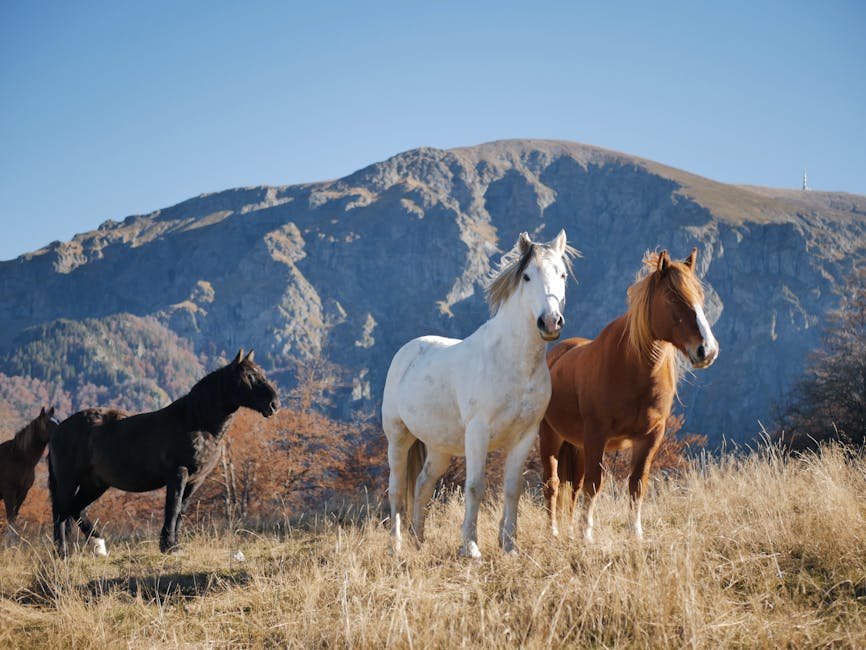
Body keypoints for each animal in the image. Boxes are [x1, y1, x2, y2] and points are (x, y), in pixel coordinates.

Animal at [0, 408, 59, 540]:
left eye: (58, 421)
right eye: (48, 424)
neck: (18, 458)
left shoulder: (23, 493)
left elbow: (14, 517)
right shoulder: (9, 493)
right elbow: (11, 518)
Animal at [49, 346, 278, 556]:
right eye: (249, 376)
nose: (274, 404)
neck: (196, 422)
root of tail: (58, 429)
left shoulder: (196, 479)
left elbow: (182, 510)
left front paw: (175, 544)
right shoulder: (178, 473)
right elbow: (173, 507)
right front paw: (169, 546)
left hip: (95, 483)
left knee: (76, 509)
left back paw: (97, 547)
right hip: (69, 480)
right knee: (62, 512)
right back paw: (64, 553)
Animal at [380, 229, 572, 556]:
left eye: (562, 274)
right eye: (527, 277)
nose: (550, 322)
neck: (511, 362)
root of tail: (407, 352)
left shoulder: (525, 435)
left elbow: (512, 489)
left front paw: (510, 546)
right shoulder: (478, 433)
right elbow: (475, 486)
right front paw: (470, 547)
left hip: (439, 447)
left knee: (422, 484)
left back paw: (419, 541)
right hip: (398, 437)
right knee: (396, 490)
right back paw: (397, 547)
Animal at [540, 248, 716, 540]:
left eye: (701, 297)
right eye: (672, 297)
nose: (707, 350)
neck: (631, 369)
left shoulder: (650, 437)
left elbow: (637, 484)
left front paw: (636, 533)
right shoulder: (597, 434)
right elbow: (595, 483)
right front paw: (587, 535)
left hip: (576, 445)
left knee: (572, 487)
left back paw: (568, 531)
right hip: (550, 435)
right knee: (552, 483)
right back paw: (552, 531)